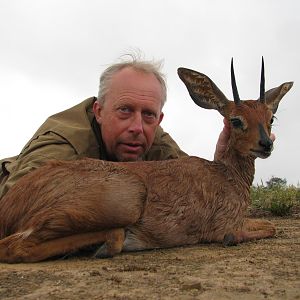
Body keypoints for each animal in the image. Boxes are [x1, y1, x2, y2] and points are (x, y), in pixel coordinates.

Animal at [0, 58, 292, 262]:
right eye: (235, 120)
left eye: (271, 118)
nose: (266, 144)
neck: (226, 174)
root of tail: (12, 202)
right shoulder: (224, 224)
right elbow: (267, 227)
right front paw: (232, 239)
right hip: (125, 201)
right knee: (13, 247)